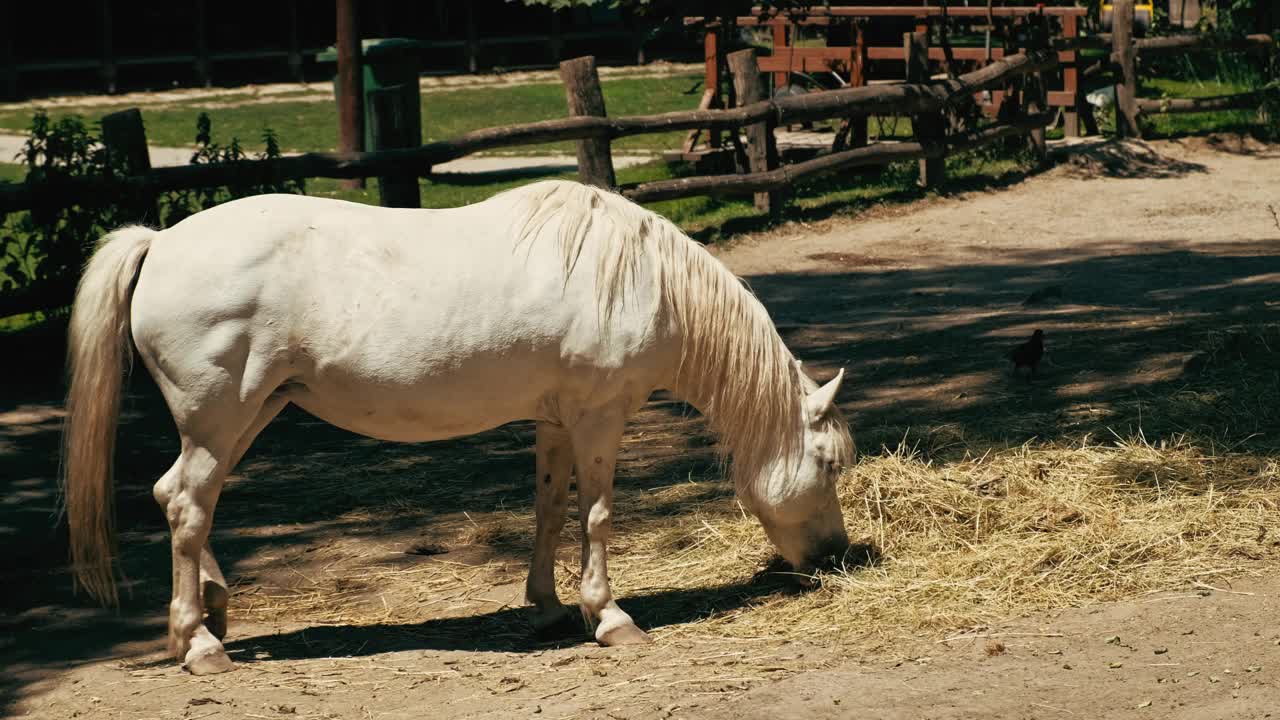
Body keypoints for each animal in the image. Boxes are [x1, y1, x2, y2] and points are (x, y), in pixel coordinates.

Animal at [64, 179, 855, 671]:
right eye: (831, 465)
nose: (836, 556)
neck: (640, 279)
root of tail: (161, 241)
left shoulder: (558, 422)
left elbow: (548, 508)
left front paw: (547, 606)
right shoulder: (600, 419)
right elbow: (597, 517)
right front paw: (610, 618)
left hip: (252, 412)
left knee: (184, 498)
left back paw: (216, 611)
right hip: (220, 416)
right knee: (187, 506)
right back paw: (198, 644)